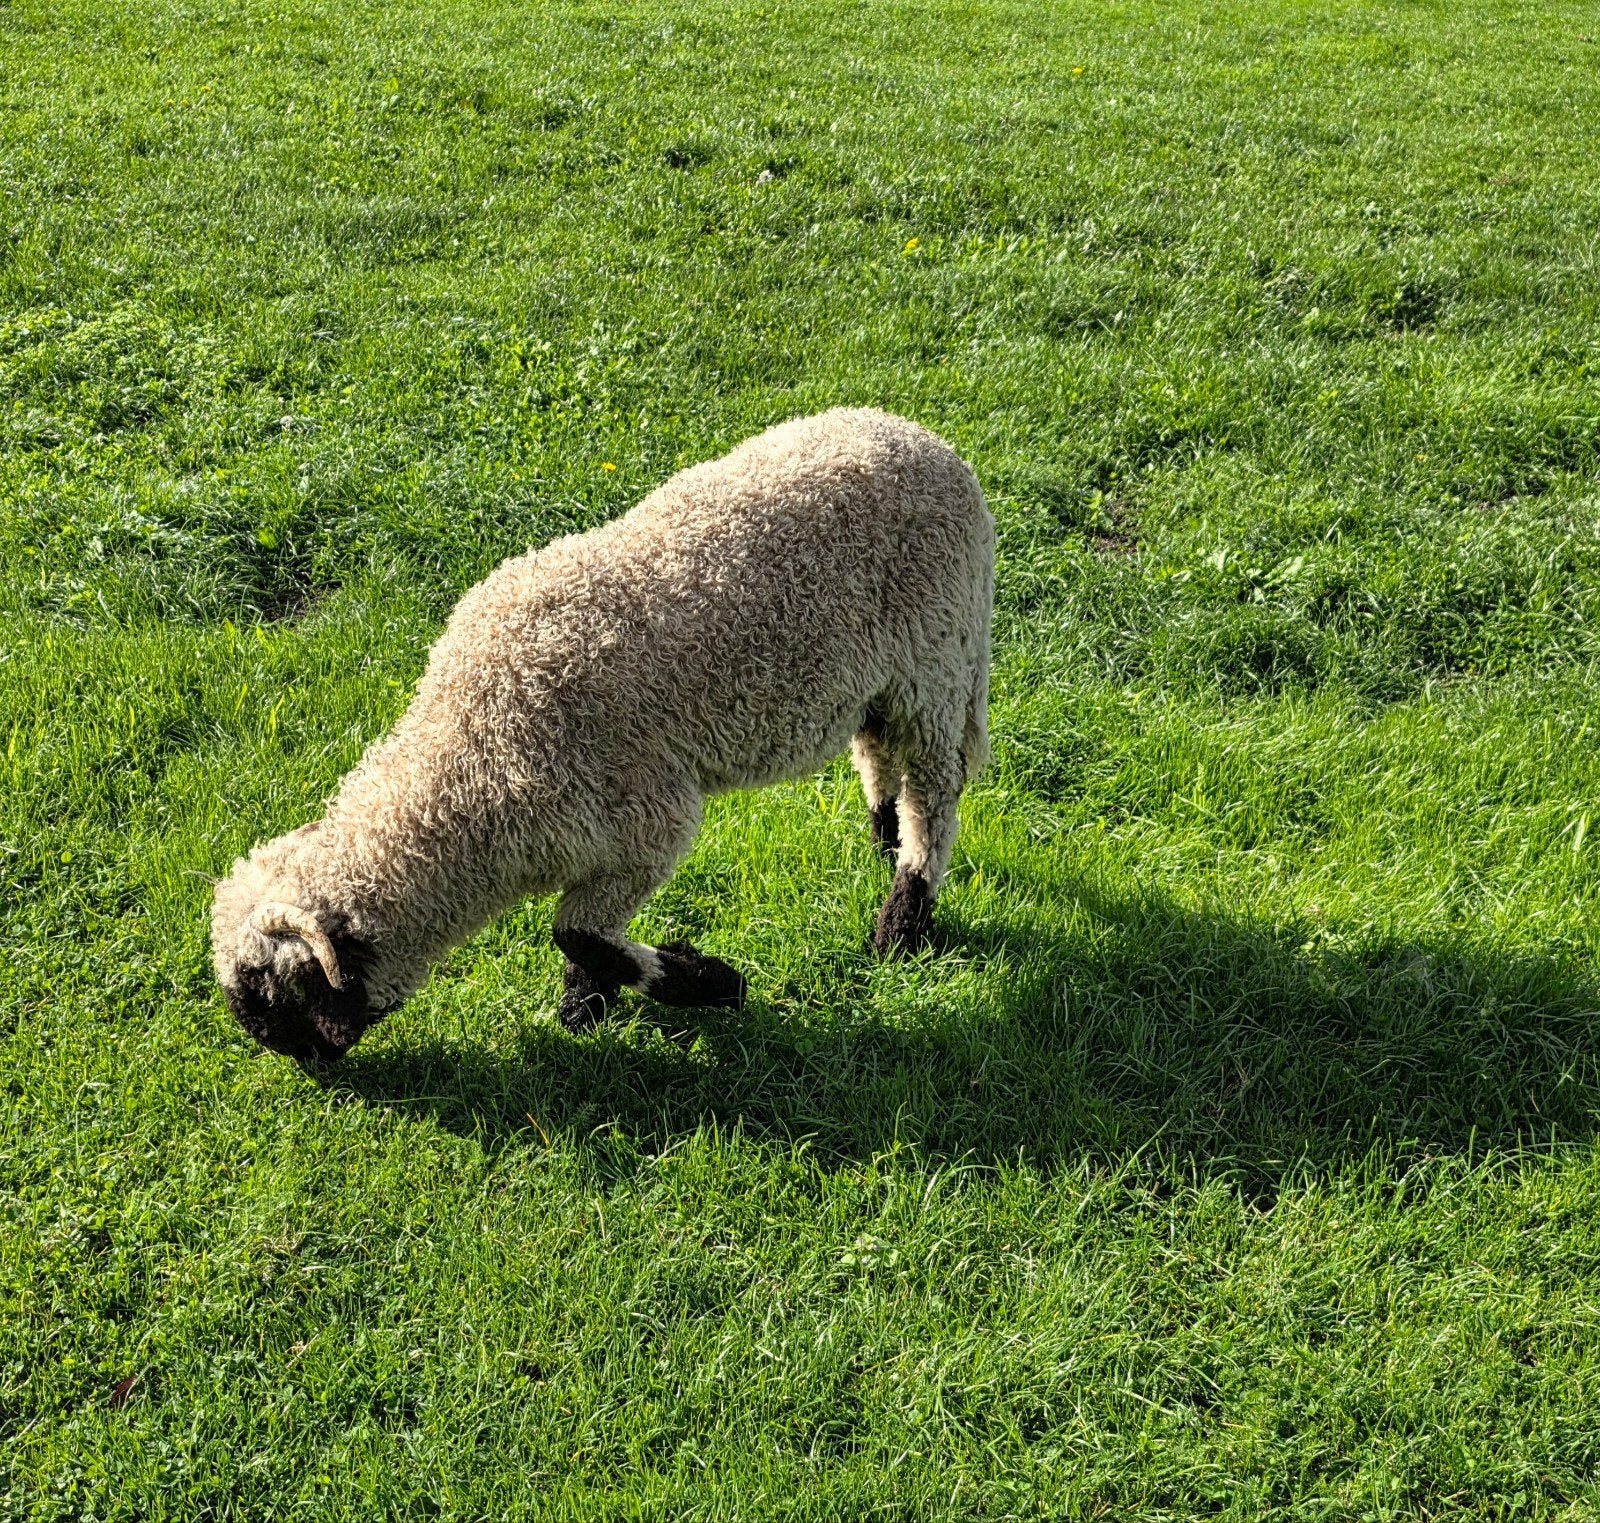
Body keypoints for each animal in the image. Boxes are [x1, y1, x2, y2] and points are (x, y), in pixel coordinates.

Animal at [211, 407, 994, 1061]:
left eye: (278, 1003)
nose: (318, 1072)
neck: (475, 754)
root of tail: (931, 444)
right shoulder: (596, 840)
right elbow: (587, 935)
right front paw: (588, 1006)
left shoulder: (649, 820)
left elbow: (578, 933)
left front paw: (706, 980)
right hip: (880, 684)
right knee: (881, 754)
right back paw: (882, 838)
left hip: (938, 660)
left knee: (935, 798)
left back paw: (902, 921)